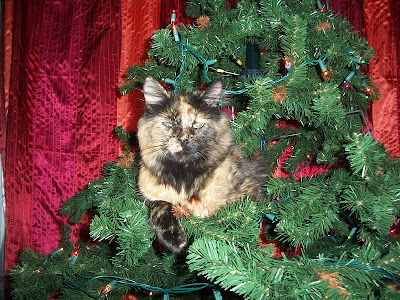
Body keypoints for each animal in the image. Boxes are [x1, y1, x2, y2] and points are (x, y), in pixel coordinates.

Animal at [136, 77, 268, 253]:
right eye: (168, 124)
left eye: (197, 125)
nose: (183, 140)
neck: (184, 176)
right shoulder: (149, 194)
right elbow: (160, 206)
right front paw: (173, 238)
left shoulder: (249, 193)